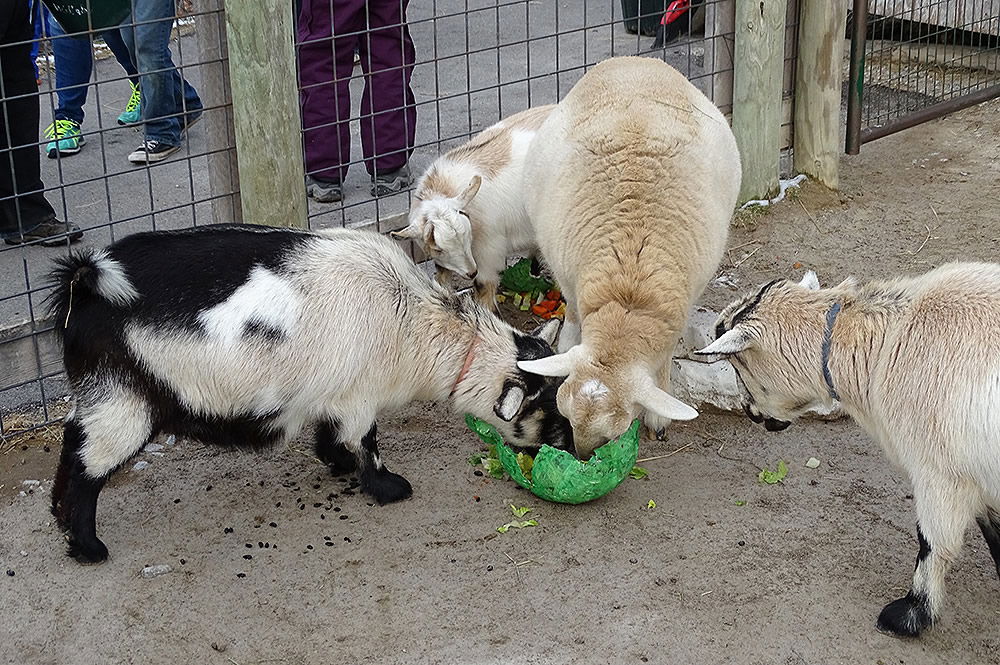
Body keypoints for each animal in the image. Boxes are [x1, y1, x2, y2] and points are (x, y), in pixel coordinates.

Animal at [48, 226, 572, 564]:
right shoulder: (360, 395)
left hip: (101, 396)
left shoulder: (332, 391)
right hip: (125, 401)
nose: (577, 448)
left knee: (73, 445)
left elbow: (330, 434)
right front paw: (387, 488)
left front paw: (335, 463)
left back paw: (61, 522)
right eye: (548, 411)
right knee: (86, 466)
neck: (415, 324)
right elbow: (366, 442)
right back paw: (87, 547)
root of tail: (83, 284)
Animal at [700, 264, 1000, 640]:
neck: (883, 340)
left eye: (737, 364)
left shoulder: (938, 471)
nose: (750, 413)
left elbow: (932, 542)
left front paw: (909, 615)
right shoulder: (978, 472)